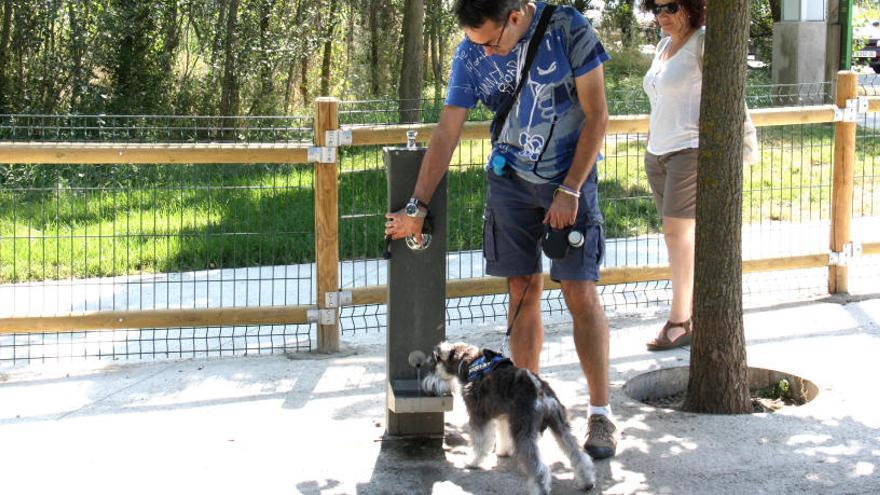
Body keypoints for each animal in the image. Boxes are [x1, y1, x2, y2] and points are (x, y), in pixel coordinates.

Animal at [422, 342, 596, 494]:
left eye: (433, 365)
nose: (428, 384)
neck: (468, 363)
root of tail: (538, 389)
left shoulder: (478, 416)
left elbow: (478, 442)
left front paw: (472, 461)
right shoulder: (503, 417)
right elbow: (502, 435)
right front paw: (503, 451)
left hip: (523, 432)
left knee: (539, 468)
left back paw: (540, 488)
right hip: (559, 424)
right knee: (577, 454)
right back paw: (587, 481)